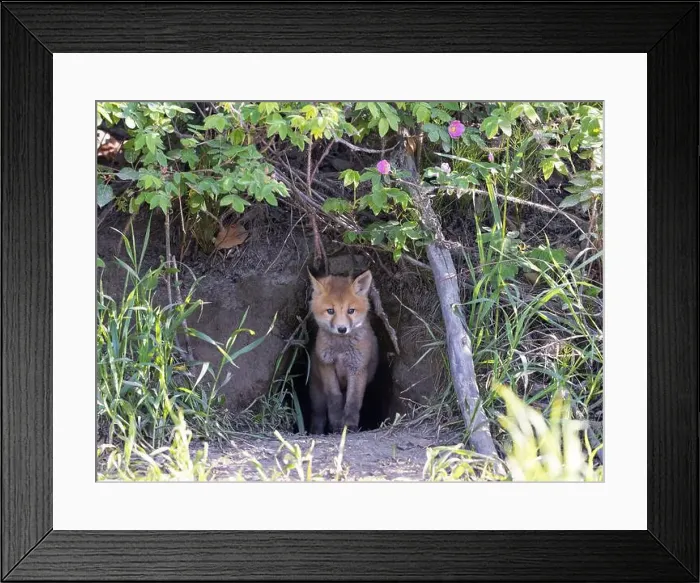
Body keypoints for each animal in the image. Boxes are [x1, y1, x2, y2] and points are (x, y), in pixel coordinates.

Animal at [307, 268, 379, 434]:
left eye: (351, 311)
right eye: (330, 311)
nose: (342, 329)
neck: (340, 351)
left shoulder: (358, 369)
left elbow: (353, 402)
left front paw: (349, 426)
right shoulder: (326, 365)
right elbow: (334, 398)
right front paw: (336, 424)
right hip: (317, 395)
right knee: (318, 414)